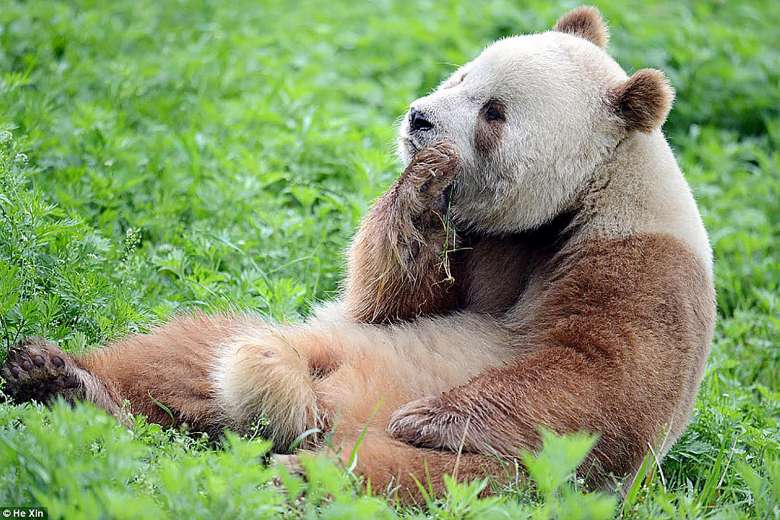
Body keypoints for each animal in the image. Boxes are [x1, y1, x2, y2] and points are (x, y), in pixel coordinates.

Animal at [2, 6, 715, 503]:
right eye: (462, 73)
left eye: (494, 111)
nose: (420, 119)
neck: (572, 202)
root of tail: (316, 416)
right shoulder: (480, 243)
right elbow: (390, 301)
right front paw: (419, 186)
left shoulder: (642, 265)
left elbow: (600, 380)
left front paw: (431, 416)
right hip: (315, 342)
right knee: (186, 353)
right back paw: (60, 380)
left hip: (508, 471)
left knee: (417, 477)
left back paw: (294, 477)